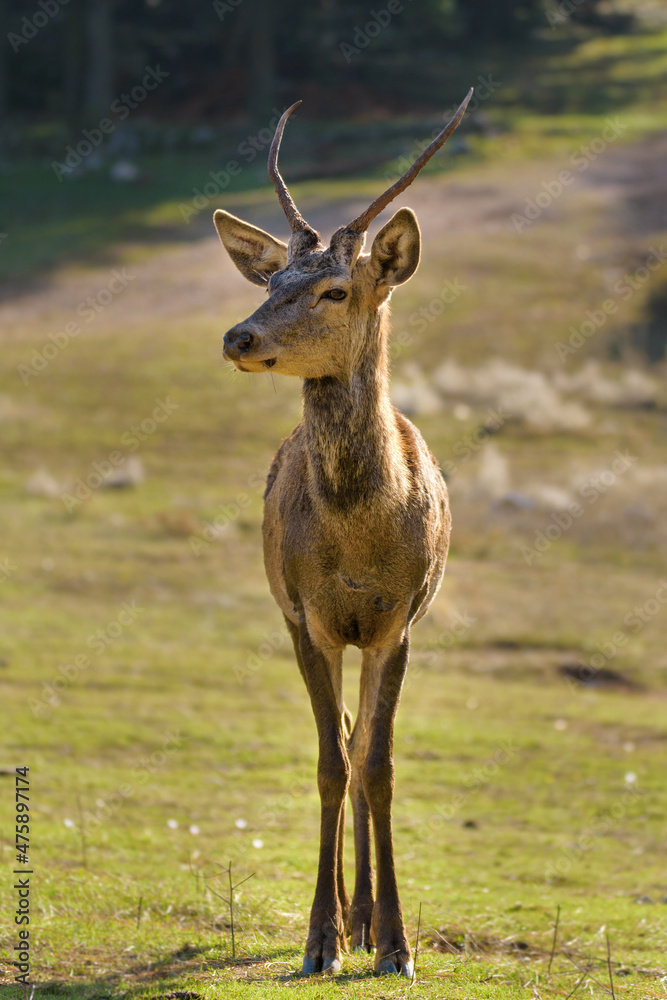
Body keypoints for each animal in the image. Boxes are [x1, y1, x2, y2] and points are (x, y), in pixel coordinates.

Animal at [213, 88, 472, 977]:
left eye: (334, 290)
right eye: (273, 279)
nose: (239, 336)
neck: (362, 547)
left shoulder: (399, 621)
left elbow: (379, 766)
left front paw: (394, 944)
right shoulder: (306, 616)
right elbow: (330, 762)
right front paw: (318, 940)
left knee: (365, 750)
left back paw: (365, 920)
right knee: (345, 746)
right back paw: (344, 919)